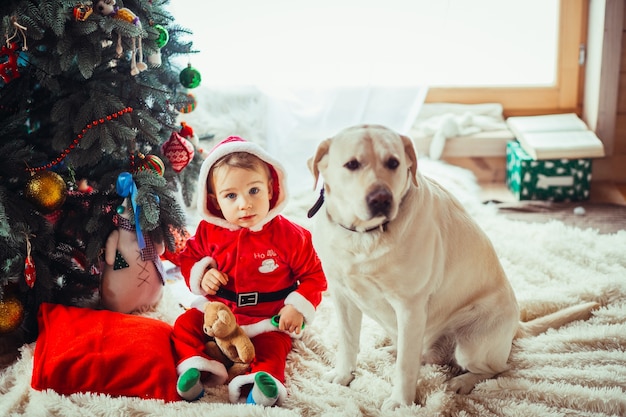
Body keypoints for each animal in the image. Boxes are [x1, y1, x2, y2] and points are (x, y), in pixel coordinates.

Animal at [308, 124, 600, 410]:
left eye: (393, 163)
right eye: (352, 164)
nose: (381, 199)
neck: (364, 236)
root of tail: (517, 325)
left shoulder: (410, 307)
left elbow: (405, 367)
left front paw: (401, 402)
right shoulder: (343, 296)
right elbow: (348, 342)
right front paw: (343, 375)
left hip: (470, 345)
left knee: (497, 368)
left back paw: (462, 381)